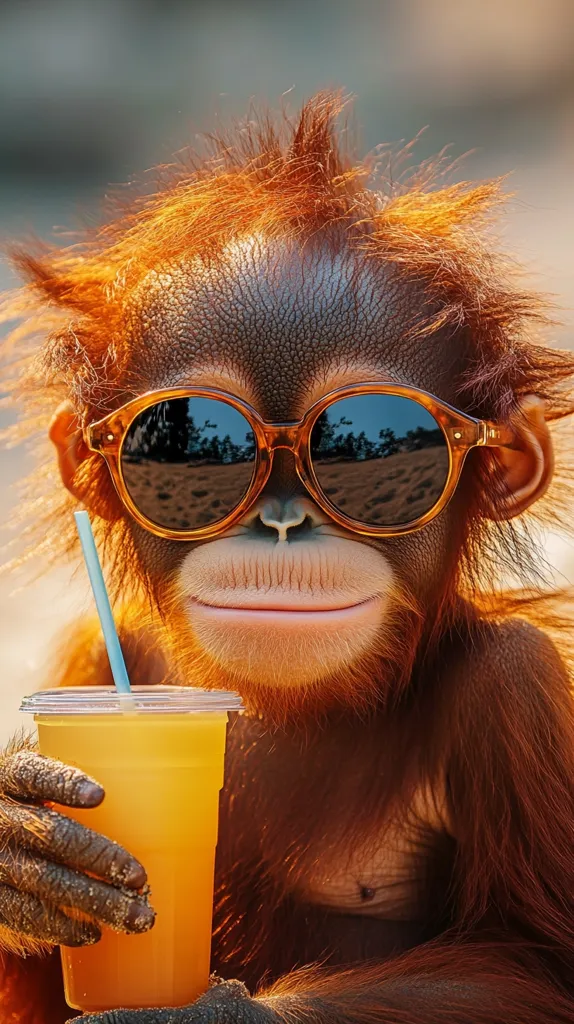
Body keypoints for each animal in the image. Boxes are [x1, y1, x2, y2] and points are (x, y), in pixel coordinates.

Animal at [1, 92, 574, 1024]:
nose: (280, 519)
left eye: (370, 439)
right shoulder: (93, 652)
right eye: (189, 442)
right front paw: (21, 846)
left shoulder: (516, 684)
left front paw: (199, 1009)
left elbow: (532, 963)